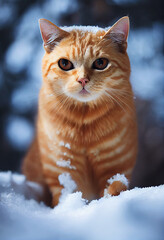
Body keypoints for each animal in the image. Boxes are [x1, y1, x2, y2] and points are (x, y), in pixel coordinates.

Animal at [21, 16, 137, 206]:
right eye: (65, 64)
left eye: (100, 63)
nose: (82, 80)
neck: (84, 122)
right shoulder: (65, 168)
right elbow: (70, 196)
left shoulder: (115, 167)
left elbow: (114, 188)